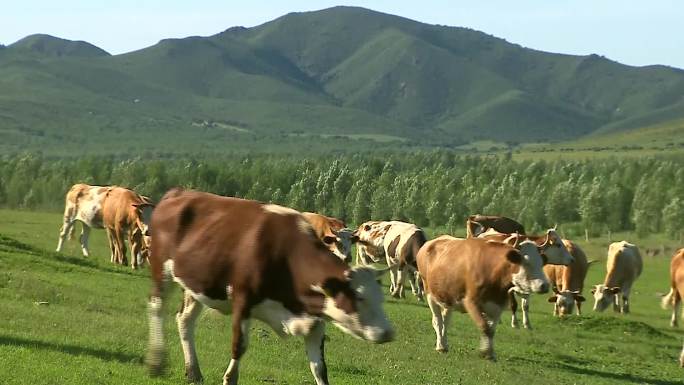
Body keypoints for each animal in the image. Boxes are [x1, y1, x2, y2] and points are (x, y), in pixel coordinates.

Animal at [147, 189, 392, 384]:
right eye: (359, 298)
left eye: (379, 298)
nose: (388, 332)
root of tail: (178, 192)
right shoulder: (242, 300)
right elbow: (238, 347)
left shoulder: (314, 320)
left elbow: (320, 369)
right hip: (161, 268)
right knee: (157, 307)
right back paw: (157, 362)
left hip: (196, 284)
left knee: (185, 319)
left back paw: (193, 372)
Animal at [416, 234, 552, 360]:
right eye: (526, 262)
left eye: (541, 262)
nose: (544, 285)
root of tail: (428, 244)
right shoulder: (471, 302)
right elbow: (484, 327)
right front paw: (486, 351)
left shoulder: (497, 305)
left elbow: (491, 330)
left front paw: (490, 352)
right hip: (430, 294)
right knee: (438, 321)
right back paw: (441, 346)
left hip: (448, 297)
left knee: (446, 321)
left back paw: (444, 343)